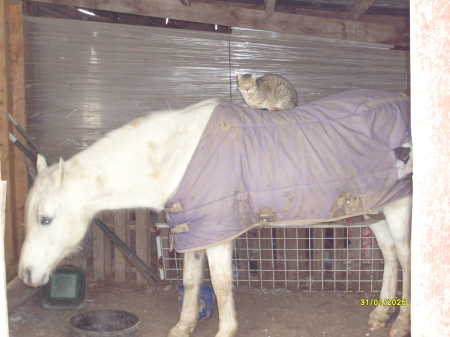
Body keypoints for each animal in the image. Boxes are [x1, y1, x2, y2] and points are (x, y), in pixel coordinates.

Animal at [18, 97, 412, 336]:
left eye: (46, 219)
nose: (25, 275)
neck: (177, 156)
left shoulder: (218, 232)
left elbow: (221, 284)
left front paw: (226, 329)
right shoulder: (193, 230)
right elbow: (192, 281)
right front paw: (184, 326)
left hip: (399, 208)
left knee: (408, 260)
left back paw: (401, 323)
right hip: (375, 210)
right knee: (390, 257)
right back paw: (380, 315)